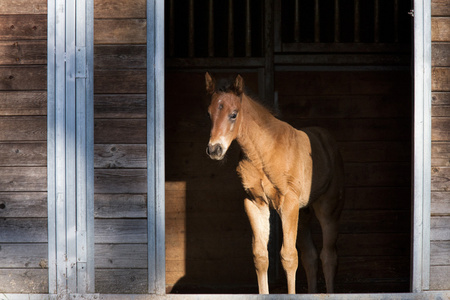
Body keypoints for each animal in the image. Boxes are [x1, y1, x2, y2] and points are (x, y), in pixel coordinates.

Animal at [205, 72, 344, 292]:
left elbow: (289, 257)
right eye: (209, 114)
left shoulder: (288, 203)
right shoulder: (255, 203)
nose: (214, 149)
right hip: (303, 213)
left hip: (328, 209)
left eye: (233, 114)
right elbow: (261, 256)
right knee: (311, 256)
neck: (263, 153)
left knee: (329, 256)